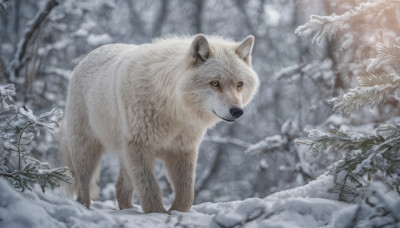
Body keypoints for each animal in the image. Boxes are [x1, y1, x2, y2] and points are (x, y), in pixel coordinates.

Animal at [61, 34, 258, 214]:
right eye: (215, 83)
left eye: (239, 84)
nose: (237, 111)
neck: (173, 111)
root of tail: (90, 54)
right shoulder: (139, 147)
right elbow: (151, 188)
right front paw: (158, 213)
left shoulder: (183, 150)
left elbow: (187, 193)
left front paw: (176, 212)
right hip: (88, 150)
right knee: (83, 185)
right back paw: (84, 208)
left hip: (124, 155)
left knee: (120, 188)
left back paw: (128, 210)